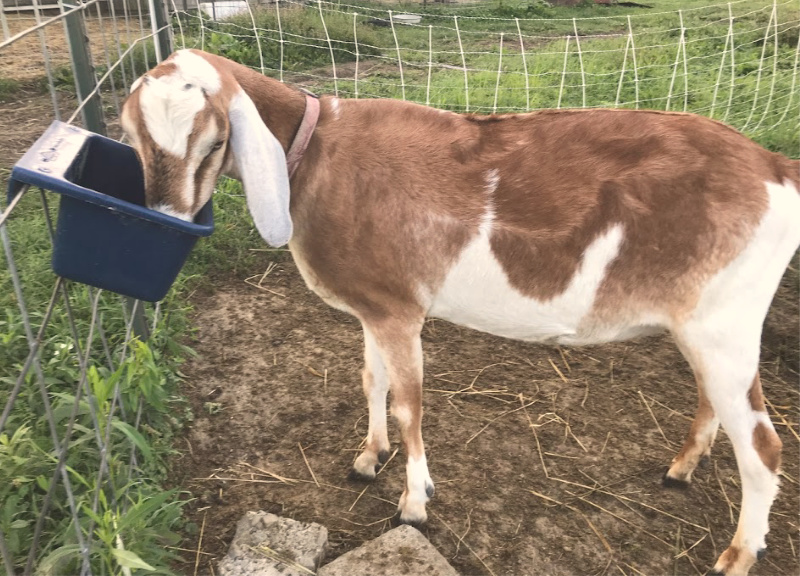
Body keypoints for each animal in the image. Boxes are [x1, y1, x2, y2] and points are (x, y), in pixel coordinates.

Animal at [120, 50, 800, 576]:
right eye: (133, 137)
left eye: (214, 140)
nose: (168, 218)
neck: (318, 156)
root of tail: (776, 167)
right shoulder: (374, 305)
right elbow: (371, 380)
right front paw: (369, 457)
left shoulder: (400, 310)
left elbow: (408, 401)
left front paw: (415, 502)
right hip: (703, 327)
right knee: (716, 401)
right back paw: (682, 468)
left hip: (724, 325)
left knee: (764, 448)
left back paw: (738, 554)